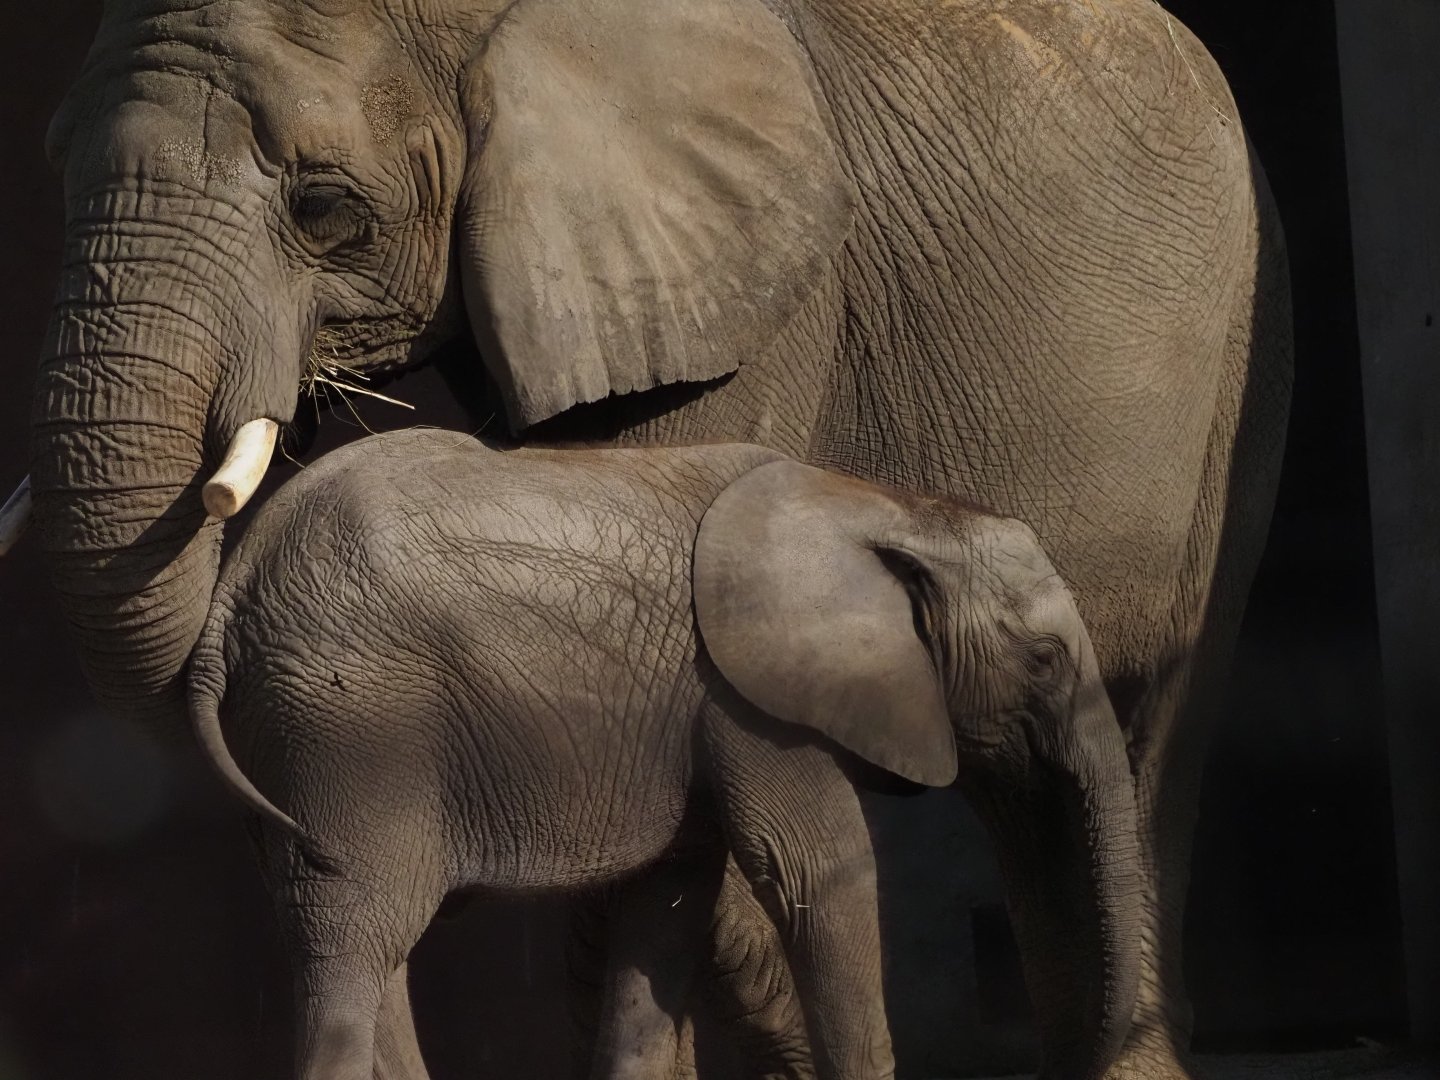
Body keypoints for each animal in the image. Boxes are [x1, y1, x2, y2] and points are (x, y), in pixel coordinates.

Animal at [187, 426, 1139, 1080]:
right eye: (1044, 660)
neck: (880, 505)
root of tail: (233, 590)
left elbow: (667, 907)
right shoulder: (747, 694)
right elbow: (817, 870)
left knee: (359, 939)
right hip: (353, 727)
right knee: (357, 938)